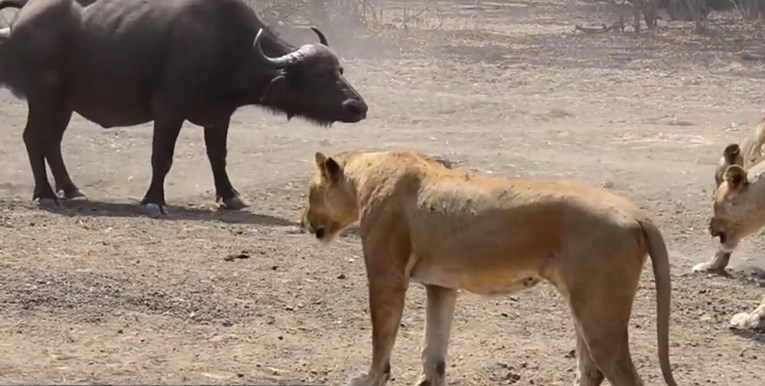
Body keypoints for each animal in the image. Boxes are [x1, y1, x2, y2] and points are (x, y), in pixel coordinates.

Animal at [0, 0, 368, 217]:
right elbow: (161, 157)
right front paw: (154, 200)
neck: (226, 46)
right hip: (43, 97)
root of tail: (21, 21)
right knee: (33, 138)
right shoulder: (169, 109)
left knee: (51, 141)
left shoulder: (219, 116)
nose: (358, 107)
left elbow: (218, 157)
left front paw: (230, 197)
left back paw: (71, 189)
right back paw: (46, 194)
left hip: (64, 103)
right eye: (319, 74)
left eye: (340, 70)